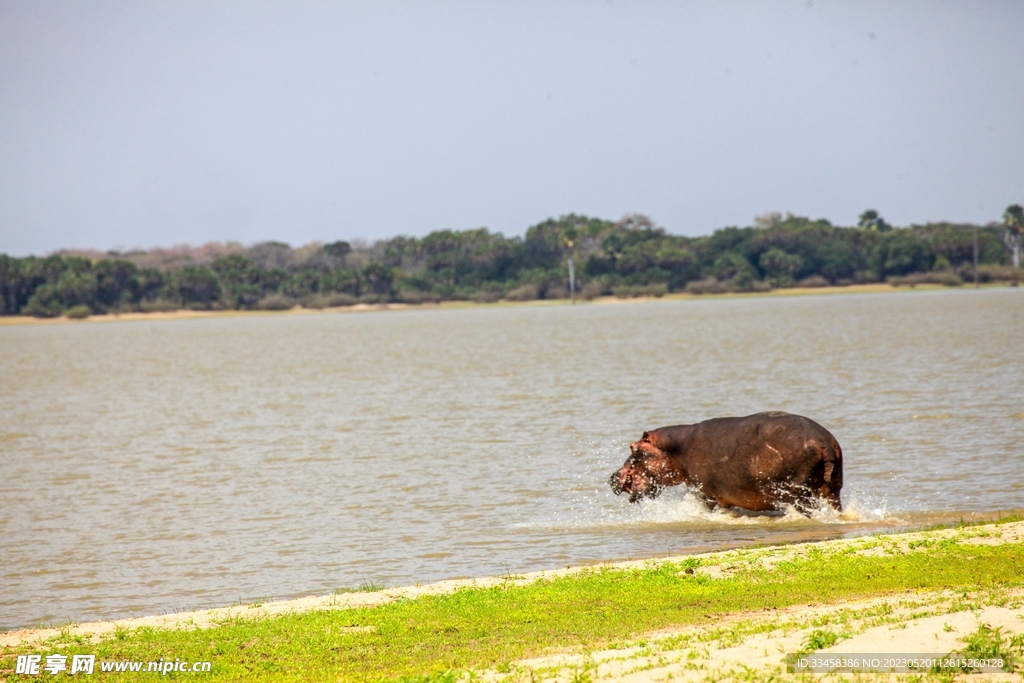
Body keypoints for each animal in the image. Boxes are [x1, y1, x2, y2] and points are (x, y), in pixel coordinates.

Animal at [610, 411, 843, 511]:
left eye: (632, 447)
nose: (612, 476)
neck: (676, 449)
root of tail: (823, 442)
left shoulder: (705, 494)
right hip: (833, 488)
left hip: (797, 491)